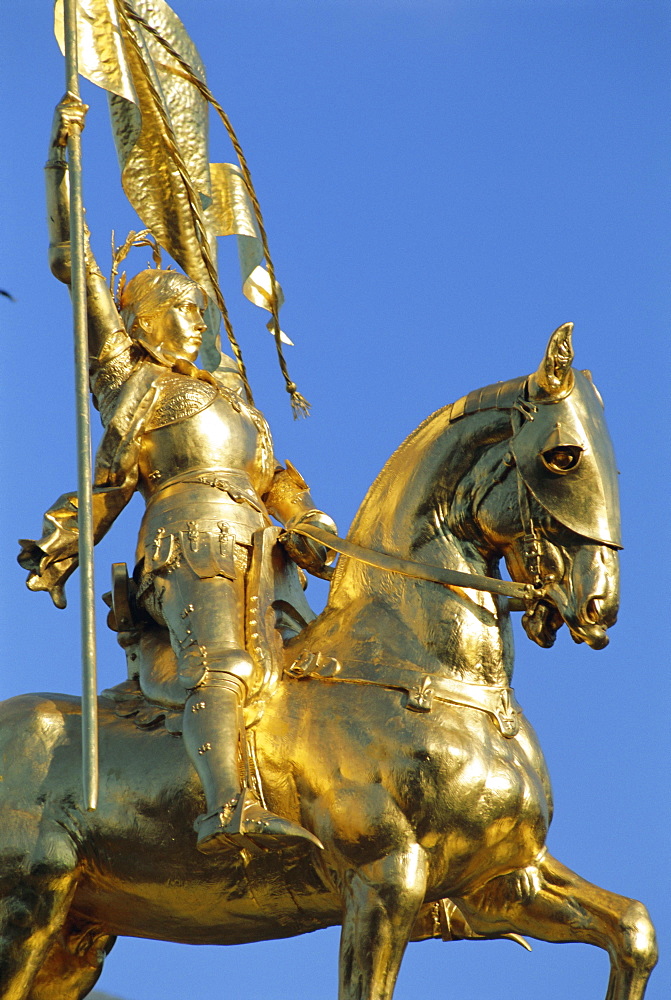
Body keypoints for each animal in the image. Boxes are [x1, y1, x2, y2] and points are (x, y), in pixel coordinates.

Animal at [0, 326, 660, 992]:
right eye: (564, 457)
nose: (599, 604)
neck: (431, 675)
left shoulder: (501, 880)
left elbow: (635, 929)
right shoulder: (387, 875)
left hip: (78, 936)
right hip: (28, 906)